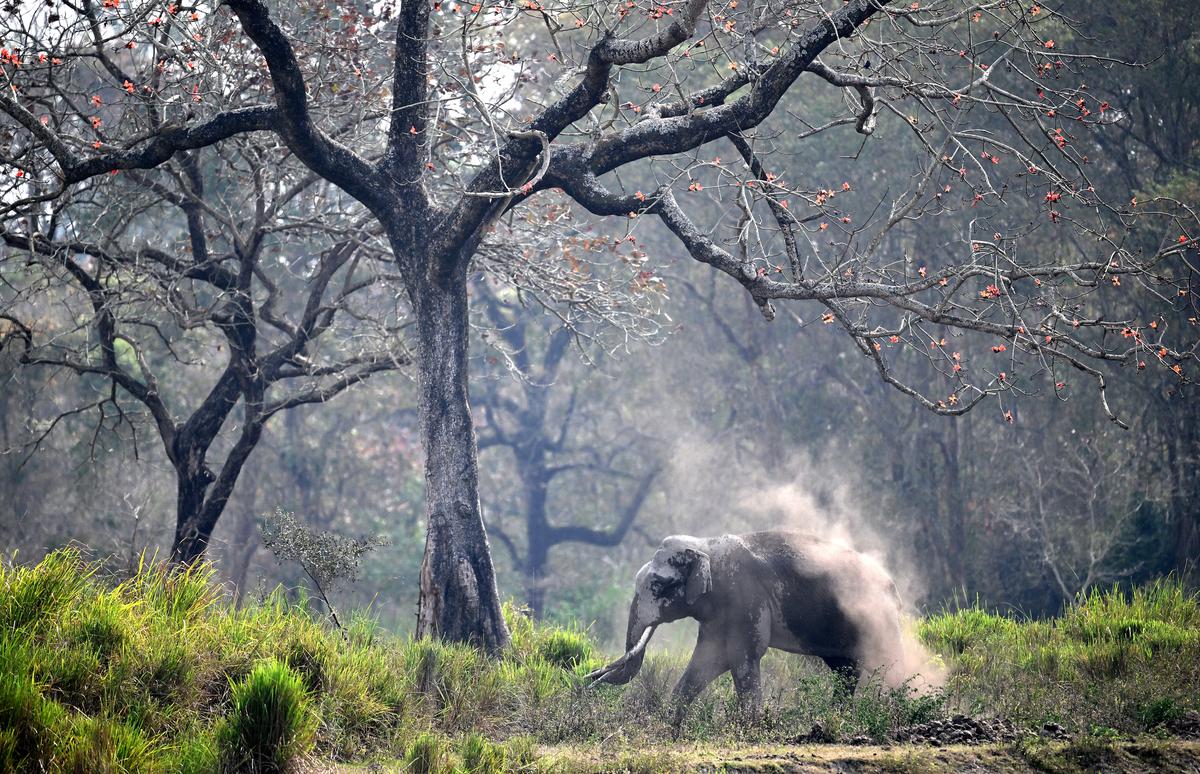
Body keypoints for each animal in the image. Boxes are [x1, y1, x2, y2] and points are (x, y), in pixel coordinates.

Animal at [585, 528, 902, 729]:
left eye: (658, 585)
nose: (588, 679)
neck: (705, 545)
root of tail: (893, 587)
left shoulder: (745, 595)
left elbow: (742, 655)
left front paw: (751, 727)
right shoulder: (718, 612)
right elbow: (709, 659)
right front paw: (667, 726)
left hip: (879, 620)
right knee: (845, 670)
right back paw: (839, 717)